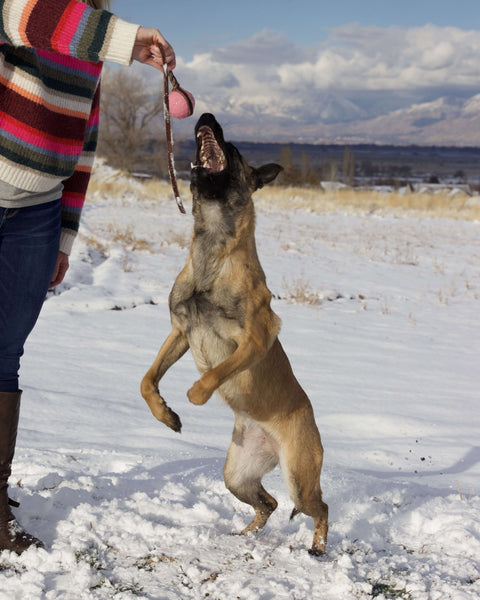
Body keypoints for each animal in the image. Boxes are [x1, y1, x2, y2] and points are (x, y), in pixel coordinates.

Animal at [142, 111, 330, 552]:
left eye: (235, 149)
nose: (207, 115)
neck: (212, 252)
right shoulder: (180, 331)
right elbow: (146, 380)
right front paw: (166, 415)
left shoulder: (254, 340)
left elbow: (214, 373)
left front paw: (194, 396)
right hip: (237, 475)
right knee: (270, 503)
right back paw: (244, 535)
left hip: (300, 478)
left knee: (319, 507)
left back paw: (317, 549)